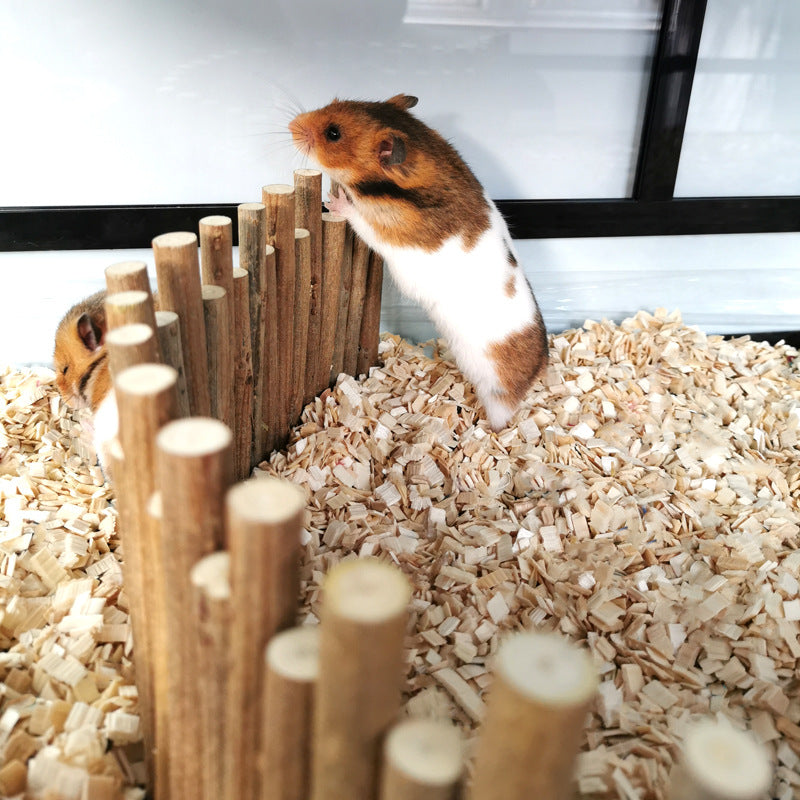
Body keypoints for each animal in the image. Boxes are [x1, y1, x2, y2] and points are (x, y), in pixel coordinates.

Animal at [289, 94, 547, 430]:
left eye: (334, 133)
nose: (290, 125)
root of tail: (539, 369)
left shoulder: (383, 227)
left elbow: (356, 216)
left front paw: (334, 200)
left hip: (496, 394)